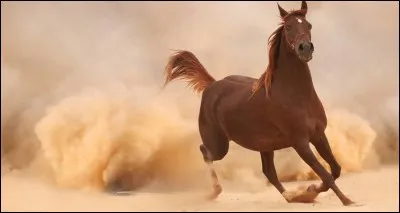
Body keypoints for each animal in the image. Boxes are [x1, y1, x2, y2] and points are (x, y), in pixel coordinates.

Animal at [163, 0, 356, 206]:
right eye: (288, 27)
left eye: (309, 25)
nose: (305, 48)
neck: (296, 95)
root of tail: (212, 85)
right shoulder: (300, 142)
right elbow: (325, 173)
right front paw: (345, 200)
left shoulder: (318, 135)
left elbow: (335, 169)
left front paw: (309, 191)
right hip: (220, 145)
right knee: (205, 152)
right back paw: (215, 191)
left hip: (264, 146)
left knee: (269, 172)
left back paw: (290, 196)